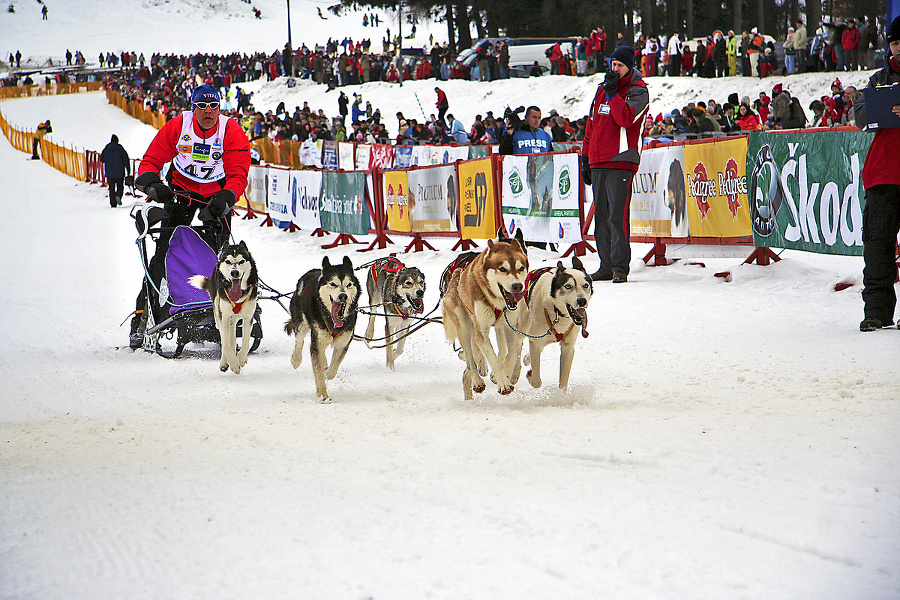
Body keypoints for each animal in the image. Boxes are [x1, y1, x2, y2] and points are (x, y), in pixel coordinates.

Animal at [190, 240, 258, 372]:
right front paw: (233, 362)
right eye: (228, 261)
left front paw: (241, 358)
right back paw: (225, 362)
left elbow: (246, 341)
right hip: (218, 314)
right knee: (225, 337)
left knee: (232, 336)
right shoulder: (224, 316)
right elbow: (225, 343)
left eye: (241, 261)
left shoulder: (248, 316)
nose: (234, 272)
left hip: (233, 318)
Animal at [286, 254, 360, 404]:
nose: (343, 296)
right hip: (302, 323)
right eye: (333, 284)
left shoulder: (343, 342)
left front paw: (328, 372)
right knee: (299, 340)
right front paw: (323, 395)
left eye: (349, 284)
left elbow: (333, 367)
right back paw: (296, 359)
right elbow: (318, 371)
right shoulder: (317, 341)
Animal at [442, 237, 528, 400]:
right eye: (502, 269)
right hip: (465, 328)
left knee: (467, 371)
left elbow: (512, 354)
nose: (517, 286)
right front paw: (504, 384)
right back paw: (477, 382)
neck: (498, 302)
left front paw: (506, 375)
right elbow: (494, 359)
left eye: (521, 268)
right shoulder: (481, 334)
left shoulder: (510, 328)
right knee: (470, 360)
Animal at [516, 256, 596, 390]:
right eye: (568, 286)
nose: (582, 301)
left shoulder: (568, 348)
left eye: (585, 285)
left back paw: (527, 358)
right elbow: (536, 382)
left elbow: (563, 383)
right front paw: (531, 375)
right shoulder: (535, 341)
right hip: (522, 327)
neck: (557, 312)